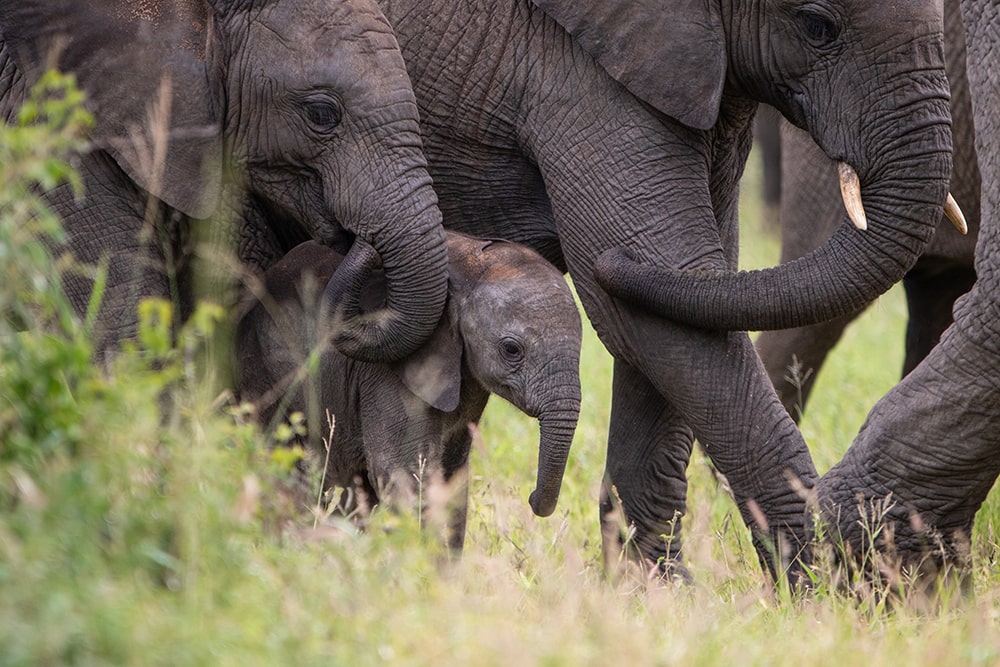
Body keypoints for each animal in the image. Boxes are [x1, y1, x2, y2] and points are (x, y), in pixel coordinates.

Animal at [235, 232, 584, 552]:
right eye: (512, 350)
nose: (531, 498)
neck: (465, 266)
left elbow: (453, 478)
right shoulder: (388, 375)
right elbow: (402, 475)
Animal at [380, 0, 952, 580]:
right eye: (818, 26)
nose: (613, 262)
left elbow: (674, 319)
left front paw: (653, 591)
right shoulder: (569, 71)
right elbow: (653, 317)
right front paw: (831, 586)